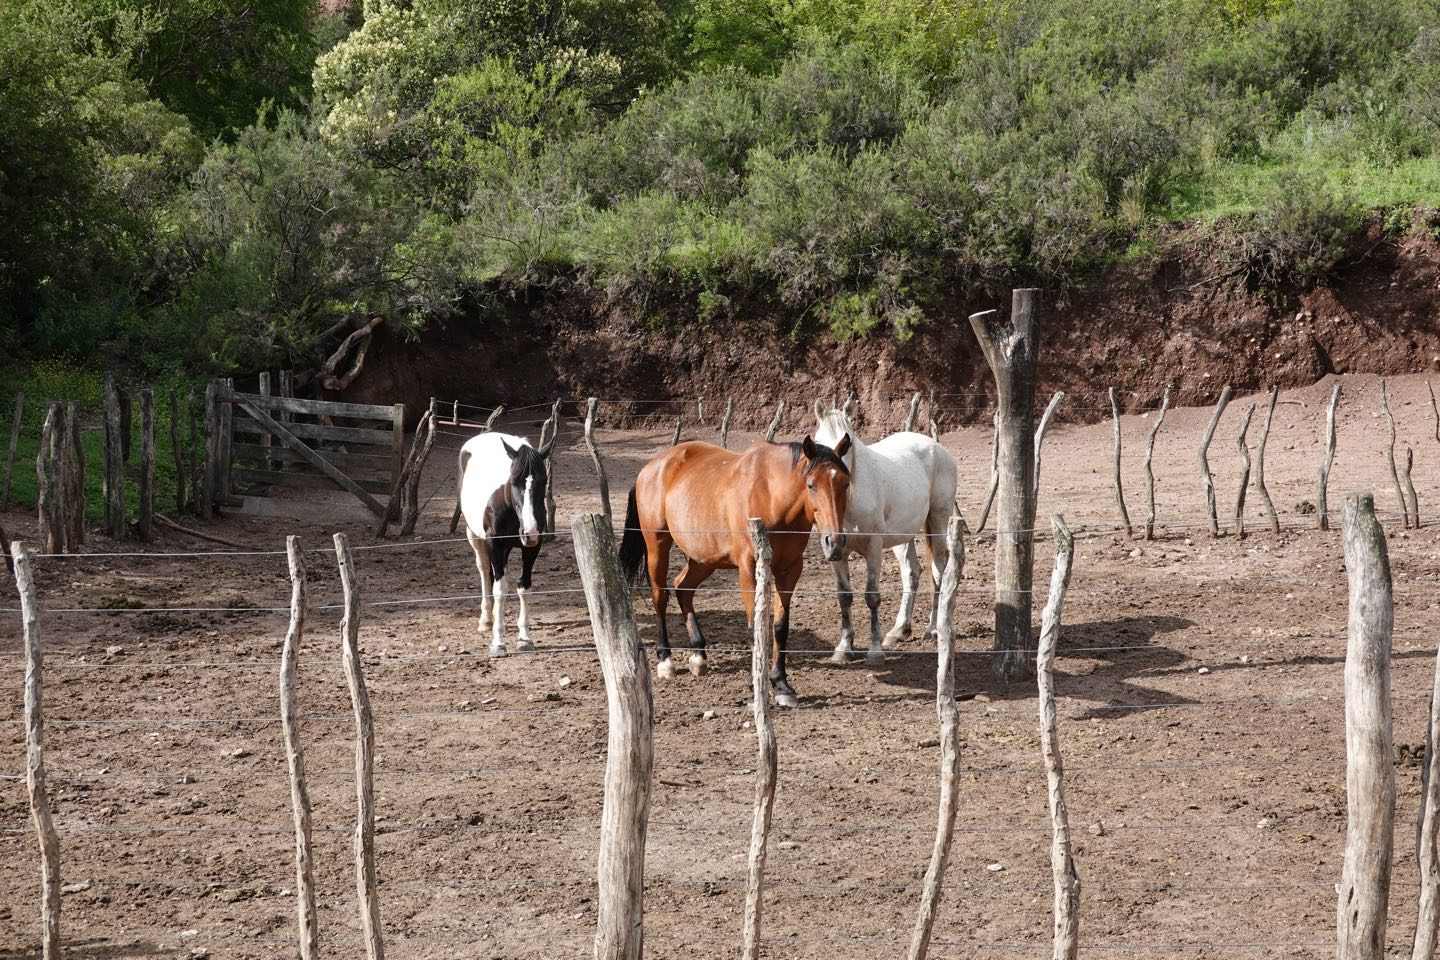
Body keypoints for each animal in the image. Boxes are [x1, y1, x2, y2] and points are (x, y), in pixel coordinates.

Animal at [457, 431, 552, 656]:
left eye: (543, 481)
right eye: (514, 481)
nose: (529, 531)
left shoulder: (532, 547)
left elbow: (524, 586)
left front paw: (525, 638)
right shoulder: (495, 545)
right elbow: (499, 589)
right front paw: (498, 642)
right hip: (475, 536)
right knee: (484, 570)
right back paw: (486, 619)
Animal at [616, 434, 840, 705]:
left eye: (844, 482)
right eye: (811, 485)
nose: (834, 542)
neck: (771, 497)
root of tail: (650, 468)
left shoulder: (790, 570)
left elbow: (780, 627)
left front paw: (782, 684)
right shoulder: (748, 569)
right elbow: (755, 629)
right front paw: (755, 685)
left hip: (704, 559)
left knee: (683, 588)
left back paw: (698, 655)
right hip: (657, 545)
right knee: (661, 596)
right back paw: (665, 660)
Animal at [812, 402, 956, 664]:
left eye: (847, 442)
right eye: (818, 442)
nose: (833, 478)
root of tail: (936, 447)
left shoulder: (873, 548)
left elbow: (872, 596)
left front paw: (875, 651)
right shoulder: (835, 552)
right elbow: (844, 596)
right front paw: (844, 647)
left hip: (938, 522)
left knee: (938, 572)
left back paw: (933, 629)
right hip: (903, 536)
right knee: (912, 573)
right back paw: (899, 631)